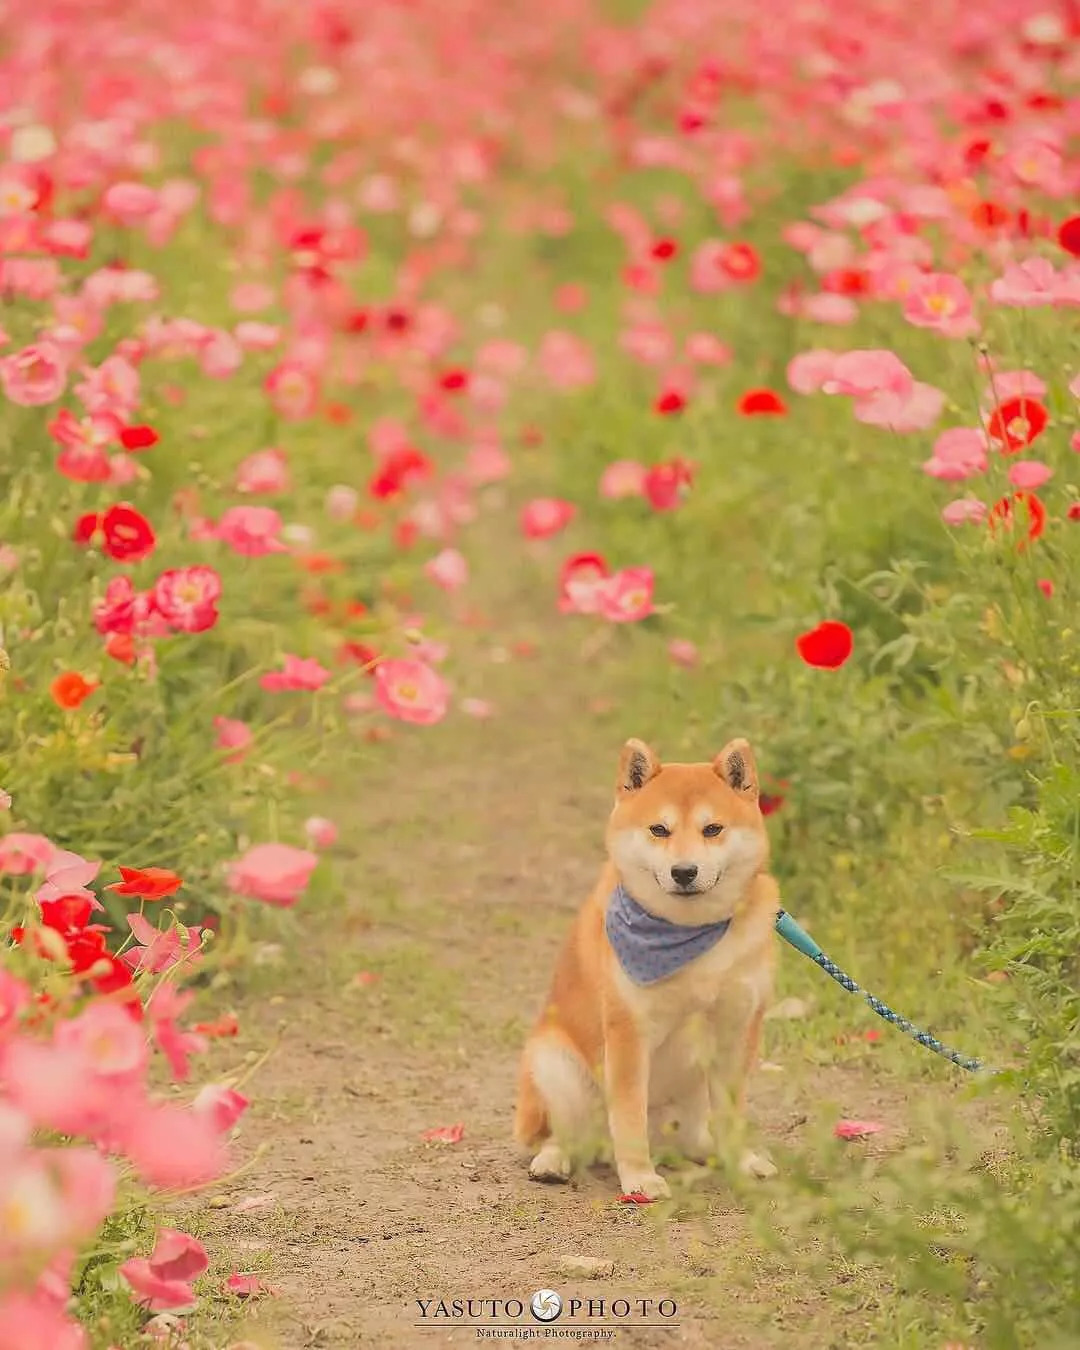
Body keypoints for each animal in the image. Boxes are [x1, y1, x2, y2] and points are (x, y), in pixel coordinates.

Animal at [515, 739, 777, 1204]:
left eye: (713, 829)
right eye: (659, 830)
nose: (684, 871)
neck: (689, 936)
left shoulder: (737, 1029)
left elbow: (733, 1111)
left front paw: (742, 1162)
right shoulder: (628, 1031)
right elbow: (629, 1115)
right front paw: (639, 1178)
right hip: (555, 1063)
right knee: (566, 1134)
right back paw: (554, 1160)